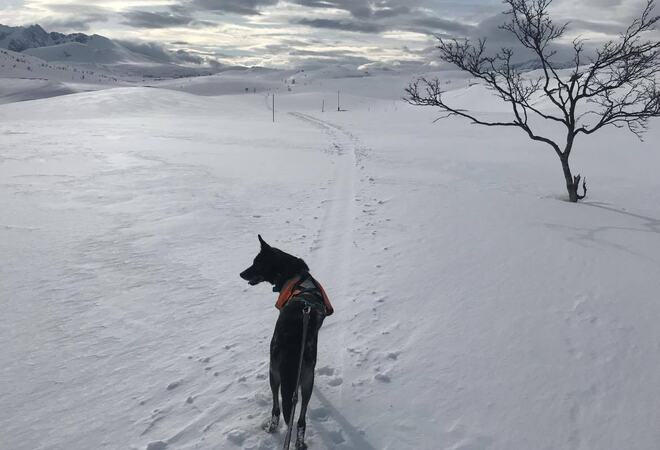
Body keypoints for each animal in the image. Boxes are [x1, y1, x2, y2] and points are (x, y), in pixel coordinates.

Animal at [240, 234, 332, 448]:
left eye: (256, 263)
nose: (241, 274)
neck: (293, 273)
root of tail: (293, 338)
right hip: (305, 375)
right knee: (300, 417)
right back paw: (298, 440)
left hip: (274, 370)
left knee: (278, 406)